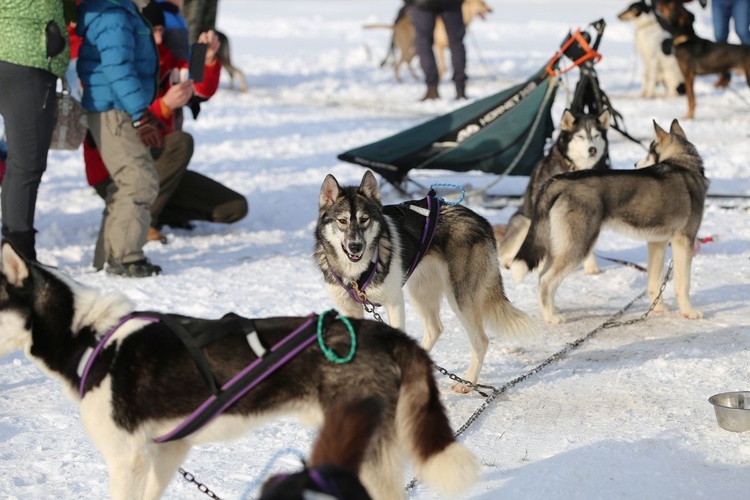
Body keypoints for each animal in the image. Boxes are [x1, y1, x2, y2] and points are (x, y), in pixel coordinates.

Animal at [314, 172, 536, 394]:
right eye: (342, 221)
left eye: (364, 219)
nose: (356, 246)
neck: (356, 273)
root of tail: (481, 220)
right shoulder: (350, 309)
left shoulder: (394, 303)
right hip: (420, 292)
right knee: (434, 329)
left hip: (459, 297)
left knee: (480, 340)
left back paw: (467, 382)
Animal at [366, 0, 494, 83]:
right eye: (482, 3)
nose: (491, 10)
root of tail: (397, 25)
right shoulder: (439, 47)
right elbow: (443, 66)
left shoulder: (450, 46)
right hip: (407, 48)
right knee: (399, 64)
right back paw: (401, 80)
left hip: (415, 50)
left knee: (407, 61)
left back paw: (416, 77)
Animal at [512, 120, 712, 324]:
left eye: (649, 152)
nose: (635, 164)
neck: (684, 164)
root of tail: (559, 180)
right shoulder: (684, 241)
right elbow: (683, 284)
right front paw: (689, 312)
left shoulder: (658, 242)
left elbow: (654, 282)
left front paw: (659, 308)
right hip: (579, 246)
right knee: (546, 280)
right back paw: (551, 316)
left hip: (560, 245)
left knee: (542, 275)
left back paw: (552, 309)